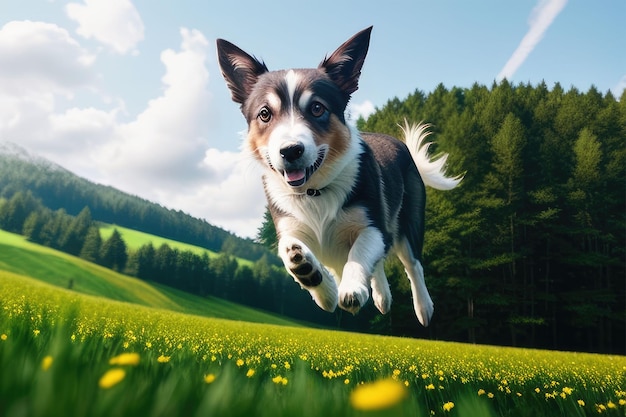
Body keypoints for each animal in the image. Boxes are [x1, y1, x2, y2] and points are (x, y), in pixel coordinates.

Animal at [217, 26, 460, 326]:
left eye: (317, 108)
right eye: (264, 114)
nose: (291, 150)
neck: (314, 191)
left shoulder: (373, 224)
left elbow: (361, 251)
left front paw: (352, 287)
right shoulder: (290, 227)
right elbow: (294, 251)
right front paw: (315, 279)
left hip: (410, 220)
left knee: (413, 264)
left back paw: (423, 307)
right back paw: (380, 295)